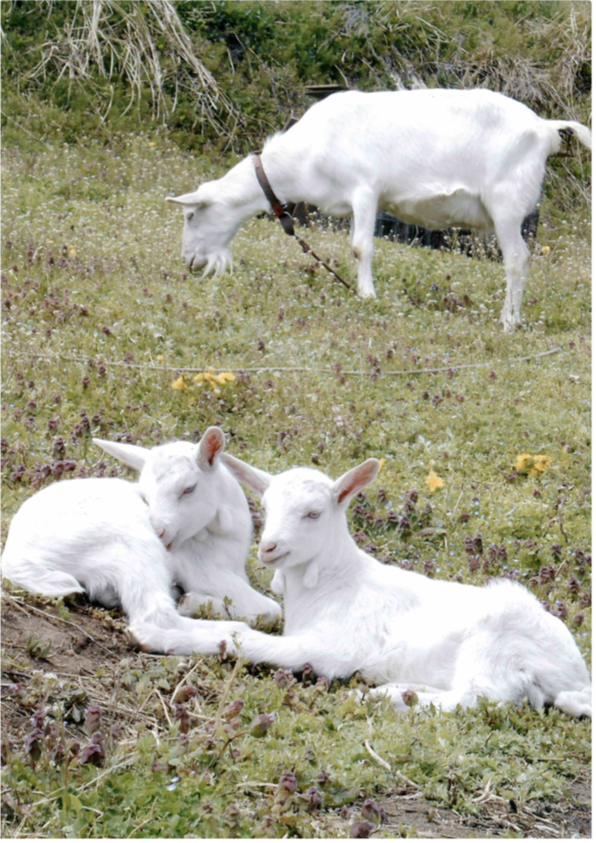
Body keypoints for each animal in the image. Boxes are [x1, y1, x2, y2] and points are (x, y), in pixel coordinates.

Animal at [1, 426, 280, 648]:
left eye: (189, 488)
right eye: (145, 496)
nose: (159, 531)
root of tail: (15, 556)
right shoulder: (205, 570)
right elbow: (273, 609)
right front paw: (195, 602)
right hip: (129, 542)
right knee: (156, 618)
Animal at [130, 454, 592, 720]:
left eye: (314, 513)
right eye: (264, 505)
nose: (269, 548)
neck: (336, 583)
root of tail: (576, 676)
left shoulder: (335, 648)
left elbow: (246, 638)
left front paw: (155, 634)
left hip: (496, 639)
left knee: (479, 699)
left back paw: (381, 698)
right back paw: (402, 689)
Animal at [168, 89, 592, 332]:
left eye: (191, 215)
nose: (188, 261)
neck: (306, 155)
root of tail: (545, 127)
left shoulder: (365, 190)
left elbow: (361, 247)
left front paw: (367, 297)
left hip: (506, 205)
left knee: (517, 259)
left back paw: (508, 321)